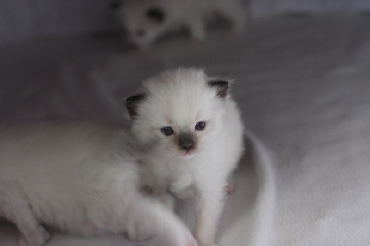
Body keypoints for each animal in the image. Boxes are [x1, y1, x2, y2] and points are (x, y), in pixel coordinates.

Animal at [0, 121, 197, 246]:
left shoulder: (11, 195)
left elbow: (27, 223)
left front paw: (32, 239)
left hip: (108, 204)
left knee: (155, 214)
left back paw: (186, 240)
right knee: (164, 202)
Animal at [111, 0, 247, 50]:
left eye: (141, 32)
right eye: (124, 31)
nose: (131, 43)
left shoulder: (190, 14)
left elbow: (196, 26)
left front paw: (197, 39)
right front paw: (142, 50)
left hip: (222, 5)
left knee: (238, 14)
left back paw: (234, 31)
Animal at [125, 67, 244, 246]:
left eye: (200, 125)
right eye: (167, 130)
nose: (187, 147)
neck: (182, 164)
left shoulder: (208, 190)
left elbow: (204, 224)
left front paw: (204, 242)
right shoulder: (157, 185)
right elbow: (160, 209)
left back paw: (229, 186)